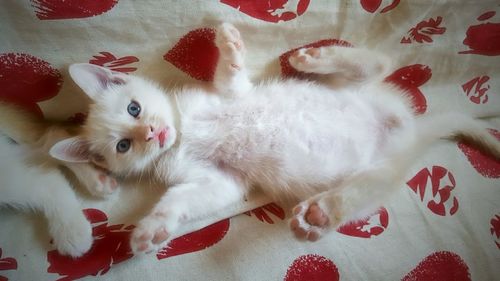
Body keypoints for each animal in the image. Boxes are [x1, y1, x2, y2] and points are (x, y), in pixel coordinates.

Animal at [51, 23, 500, 253]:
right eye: (123, 146)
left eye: (134, 108)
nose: (152, 131)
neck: (184, 132)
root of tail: (409, 130)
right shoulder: (220, 179)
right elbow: (188, 198)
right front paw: (152, 229)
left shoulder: (229, 93)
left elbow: (231, 72)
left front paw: (228, 42)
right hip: (379, 173)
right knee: (366, 188)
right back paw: (320, 214)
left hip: (351, 89)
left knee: (379, 63)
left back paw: (314, 57)